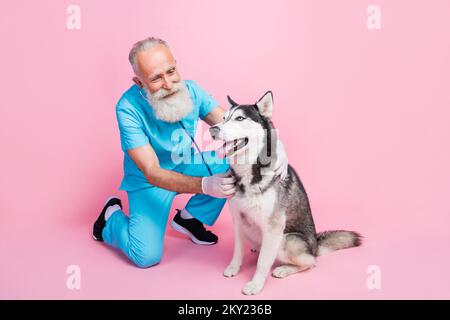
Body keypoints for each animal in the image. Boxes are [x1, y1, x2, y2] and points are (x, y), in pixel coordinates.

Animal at [208, 90, 362, 296]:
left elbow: (263, 263)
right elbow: (238, 250)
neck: (249, 172)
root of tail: (315, 244)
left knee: (310, 262)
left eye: (240, 118)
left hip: (286, 240)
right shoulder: (238, 219)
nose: (213, 130)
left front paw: (256, 284)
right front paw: (233, 267)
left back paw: (284, 269)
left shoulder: (274, 227)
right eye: (224, 118)